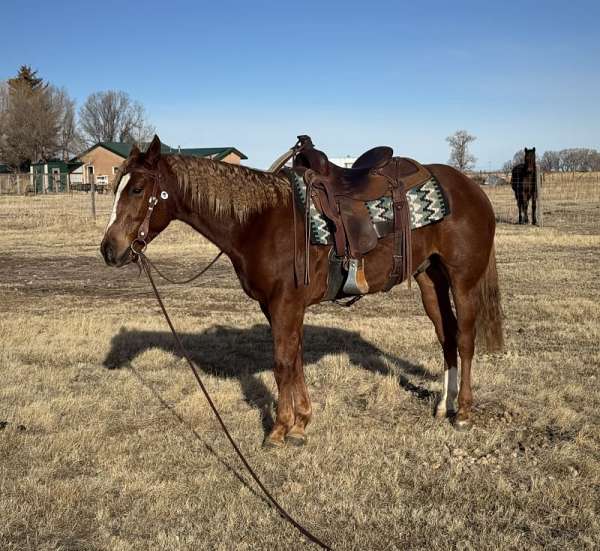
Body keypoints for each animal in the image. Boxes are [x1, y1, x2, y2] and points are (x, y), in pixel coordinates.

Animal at [101, 137, 504, 448]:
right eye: (116, 185)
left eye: (137, 188)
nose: (109, 250)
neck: (261, 222)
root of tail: (473, 189)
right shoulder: (276, 307)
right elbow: (293, 358)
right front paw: (300, 423)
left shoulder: (285, 304)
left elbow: (282, 363)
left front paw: (279, 430)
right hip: (429, 280)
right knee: (446, 337)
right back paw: (443, 405)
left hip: (463, 280)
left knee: (464, 339)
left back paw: (463, 412)